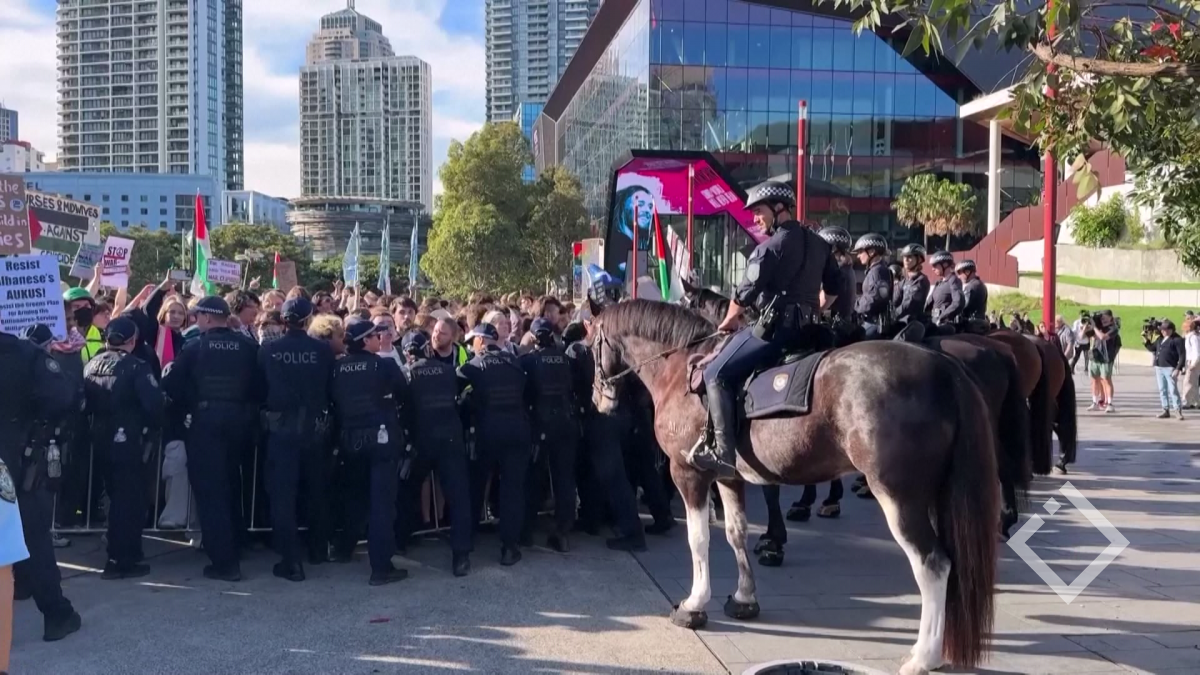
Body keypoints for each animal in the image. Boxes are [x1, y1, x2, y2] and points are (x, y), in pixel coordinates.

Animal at [590, 300, 998, 674]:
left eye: (590, 340)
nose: (598, 399)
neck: (680, 369)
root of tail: (945, 369)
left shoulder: (688, 473)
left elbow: (699, 539)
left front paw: (694, 605)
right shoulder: (729, 476)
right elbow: (736, 534)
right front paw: (744, 598)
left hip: (901, 498)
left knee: (933, 564)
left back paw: (923, 656)